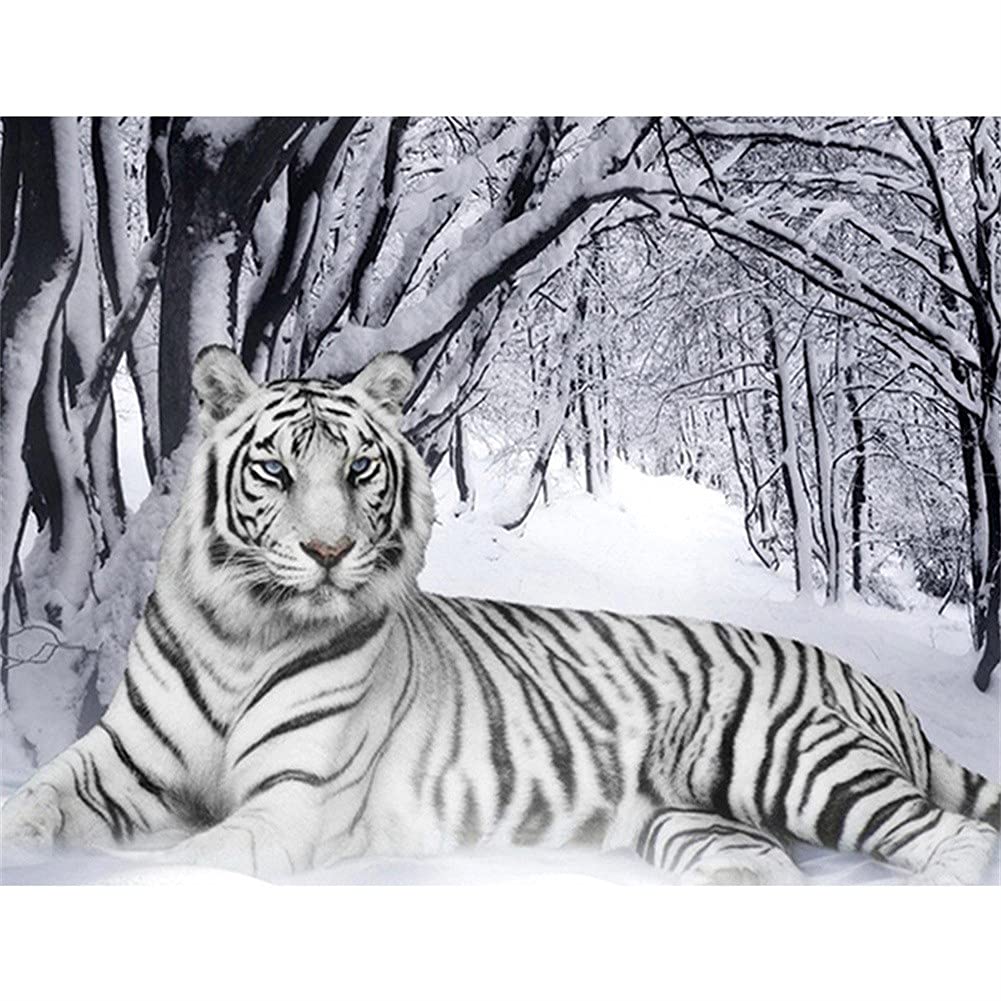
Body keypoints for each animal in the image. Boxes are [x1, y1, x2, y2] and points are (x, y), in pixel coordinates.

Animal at [2, 346, 999, 884]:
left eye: (357, 469)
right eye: (275, 471)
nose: (327, 551)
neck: (245, 630)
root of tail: (875, 682)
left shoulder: (291, 800)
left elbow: (183, 864)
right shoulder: (118, 763)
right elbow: (30, 803)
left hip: (791, 757)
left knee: (961, 837)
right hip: (695, 823)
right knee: (770, 863)